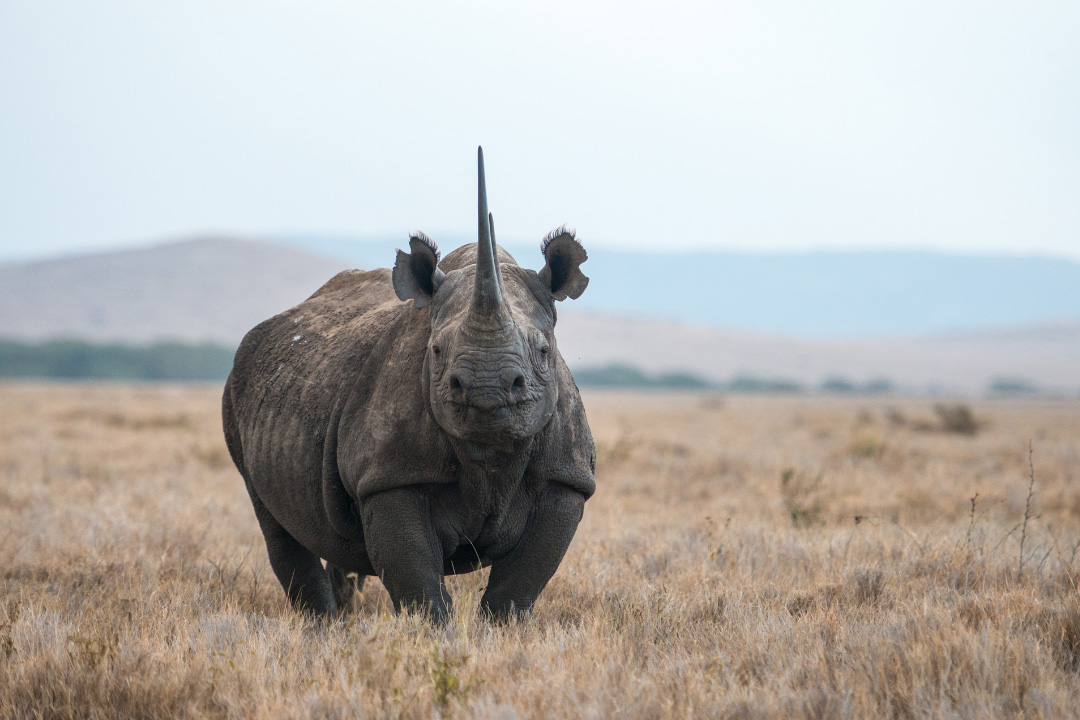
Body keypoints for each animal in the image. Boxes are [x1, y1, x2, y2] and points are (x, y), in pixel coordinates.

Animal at [221, 148, 595, 622]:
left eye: (544, 351)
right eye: (435, 351)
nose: (485, 391)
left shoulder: (565, 477)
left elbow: (516, 590)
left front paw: (501, 635)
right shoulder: (391, 476)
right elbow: (419, 588)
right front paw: (434, 636)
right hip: (235, 395)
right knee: (276, 524)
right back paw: (323, 628)